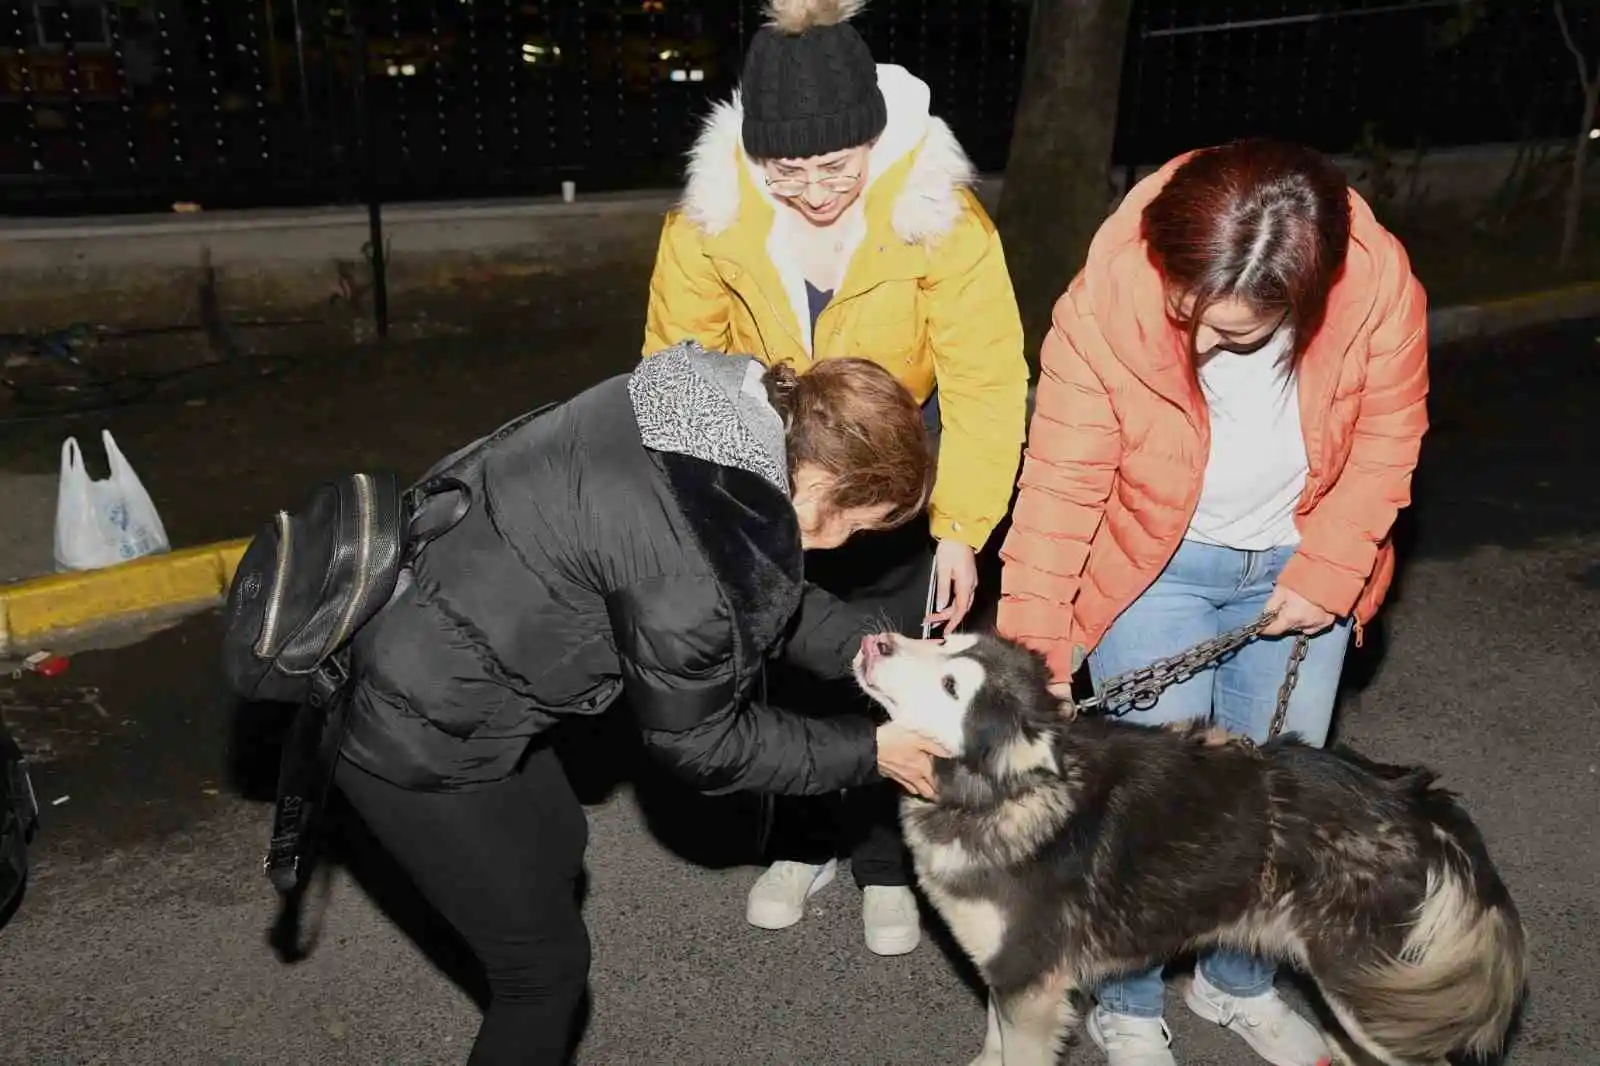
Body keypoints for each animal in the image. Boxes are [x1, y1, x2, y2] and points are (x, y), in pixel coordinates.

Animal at [857, 630, 1529, 1062]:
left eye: (950, 684)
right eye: (946, 639)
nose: (874, 642)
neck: (1000, 795)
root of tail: (1416, 797)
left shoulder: (1032, 983)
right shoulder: (1007, 975)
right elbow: (992, 1040)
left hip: (1372, 997)